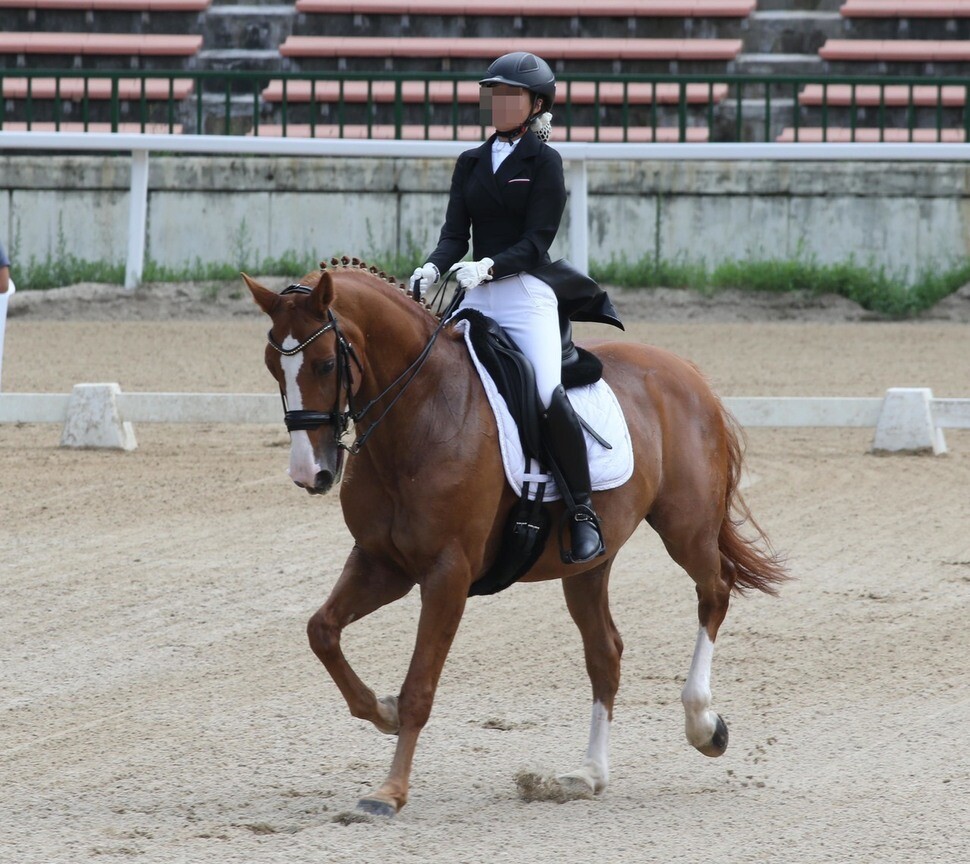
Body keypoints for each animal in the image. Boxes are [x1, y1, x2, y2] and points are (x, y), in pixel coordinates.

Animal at [244, 262, 788, 816]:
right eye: (272, 366)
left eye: (327, 364)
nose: (310, 474)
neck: (420, 411)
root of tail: (685, 370)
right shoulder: (383, 564)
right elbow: (321, 630)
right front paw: (383, 711)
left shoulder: (447, 573)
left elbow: (420, 685)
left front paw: (389, 791)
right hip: (588, 564)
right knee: (606, 652)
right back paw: (589, 774)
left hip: (686, 527)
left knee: (715, 591)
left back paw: (703, 725)